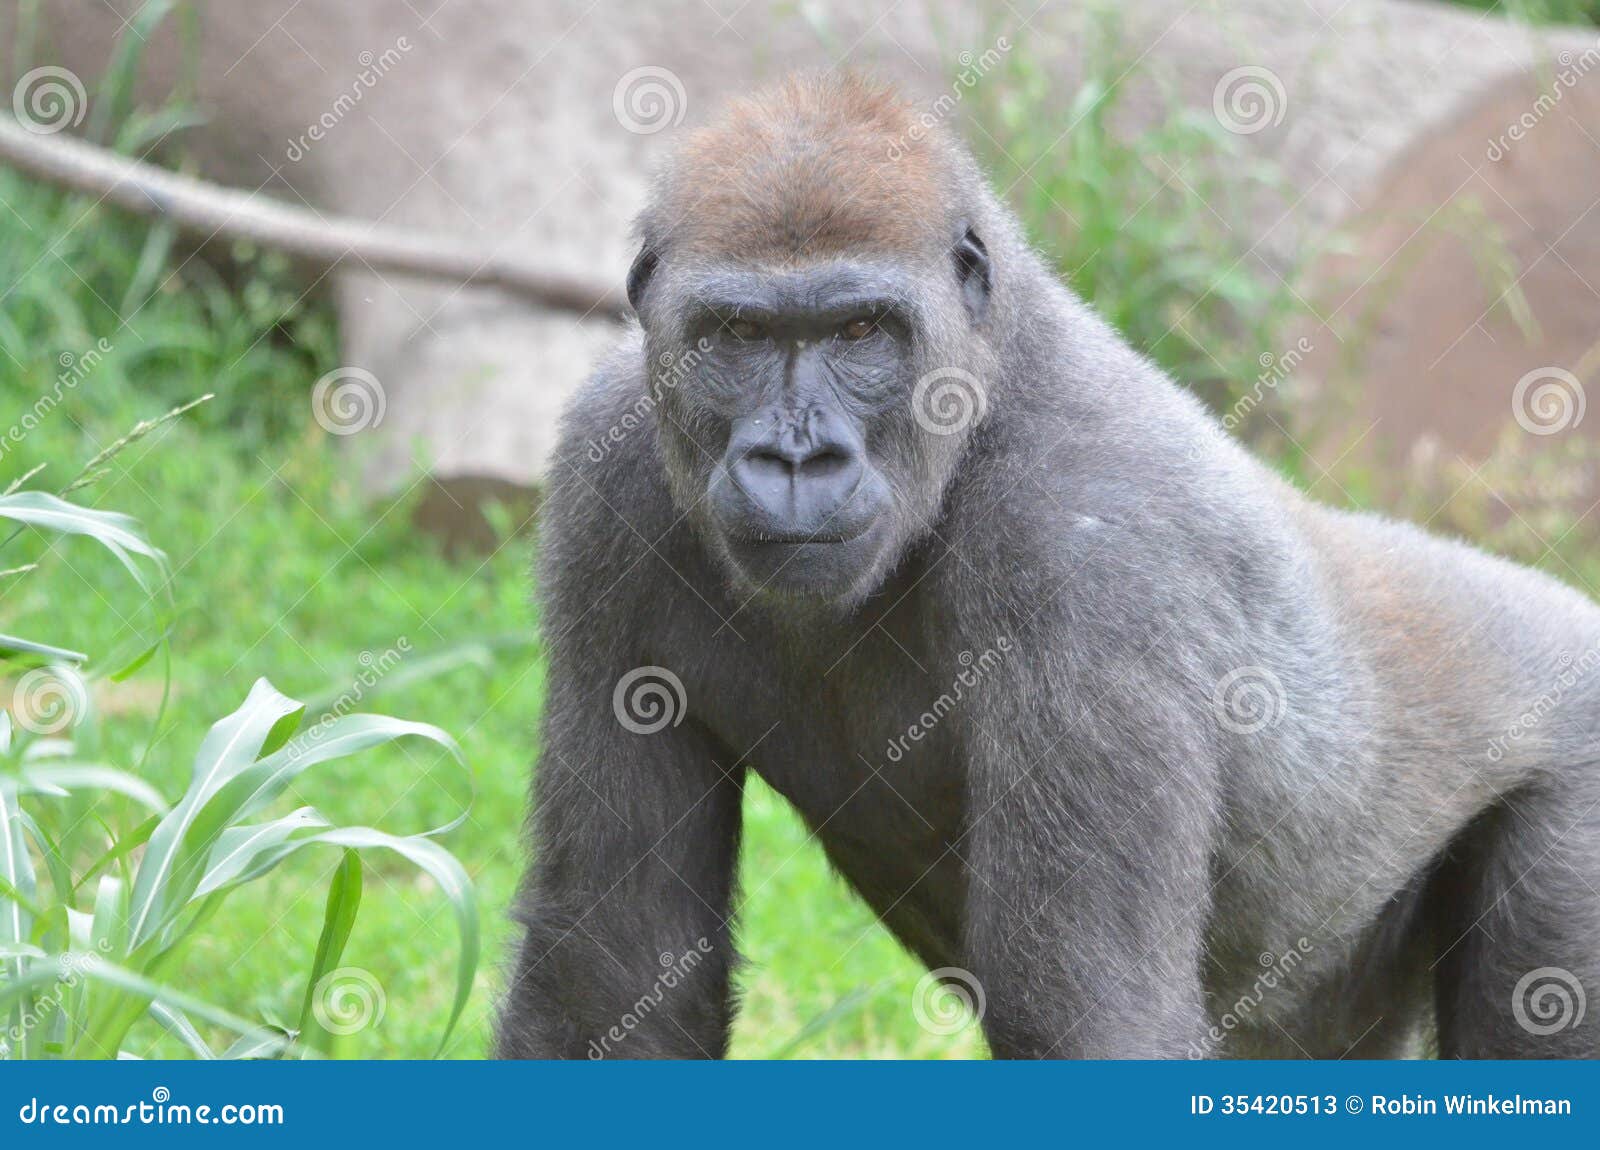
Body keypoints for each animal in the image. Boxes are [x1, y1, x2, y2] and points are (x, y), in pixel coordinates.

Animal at [492, 71, 1593, 1062]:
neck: (987, 375)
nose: (797, 459)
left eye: (860, 329)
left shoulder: (1090, 545)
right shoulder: (605, 477)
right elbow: (612, 978)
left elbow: (1086, 1013)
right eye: (738, 333)